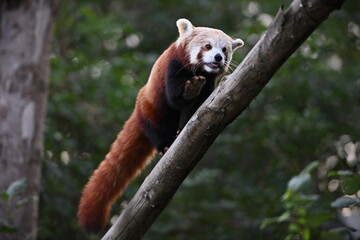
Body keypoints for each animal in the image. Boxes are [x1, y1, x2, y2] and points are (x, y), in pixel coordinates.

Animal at [77, 18, 243, 232]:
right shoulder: (173, 67)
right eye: (208, 46)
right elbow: (176, 98)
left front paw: (189, 118)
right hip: (151, 113)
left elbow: (196, 107)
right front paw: (190, 89)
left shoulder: (209, 82)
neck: (199, 71)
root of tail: (137, 110)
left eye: (224, 49)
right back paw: (166, 144)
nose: (218, 57)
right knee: (159, 128)